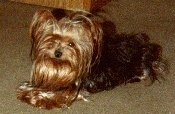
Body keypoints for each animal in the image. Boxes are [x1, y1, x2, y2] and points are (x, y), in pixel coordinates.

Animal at [16, 9, 167, 109]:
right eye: (52, 40)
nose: (58, 53)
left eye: (71, 44)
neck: (60, 66)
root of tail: (144, 48)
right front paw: (27, 92)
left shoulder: (75, 91)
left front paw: (37, 99)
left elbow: (59, 97)